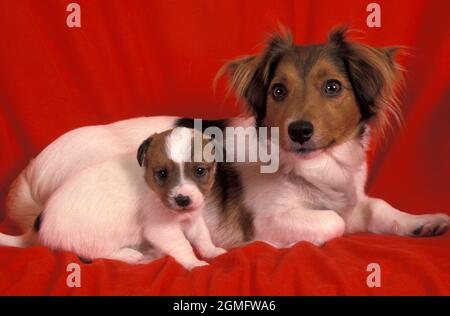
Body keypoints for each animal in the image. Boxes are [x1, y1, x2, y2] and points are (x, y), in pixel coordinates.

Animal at [1, 26, 448, 254]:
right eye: (278, 91)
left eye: (333, 87)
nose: (299, 130)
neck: (315, 169)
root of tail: (31, 177)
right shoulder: (273, 216)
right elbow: (334, 223)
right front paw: (283, 243)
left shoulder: (354, 200)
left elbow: (378, 208)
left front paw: (422, 222)